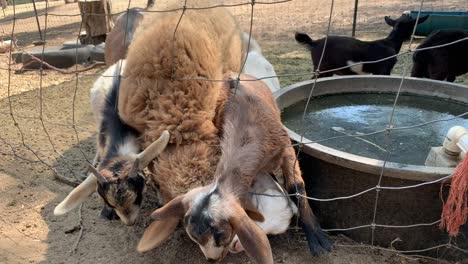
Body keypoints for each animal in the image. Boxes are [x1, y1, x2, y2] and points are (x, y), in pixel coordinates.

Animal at [139, 72, 332, 264]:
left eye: (220, 234)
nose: (212, 259)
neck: (249, 131)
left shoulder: (286, 150)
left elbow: (296, 187)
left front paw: (318, 239)